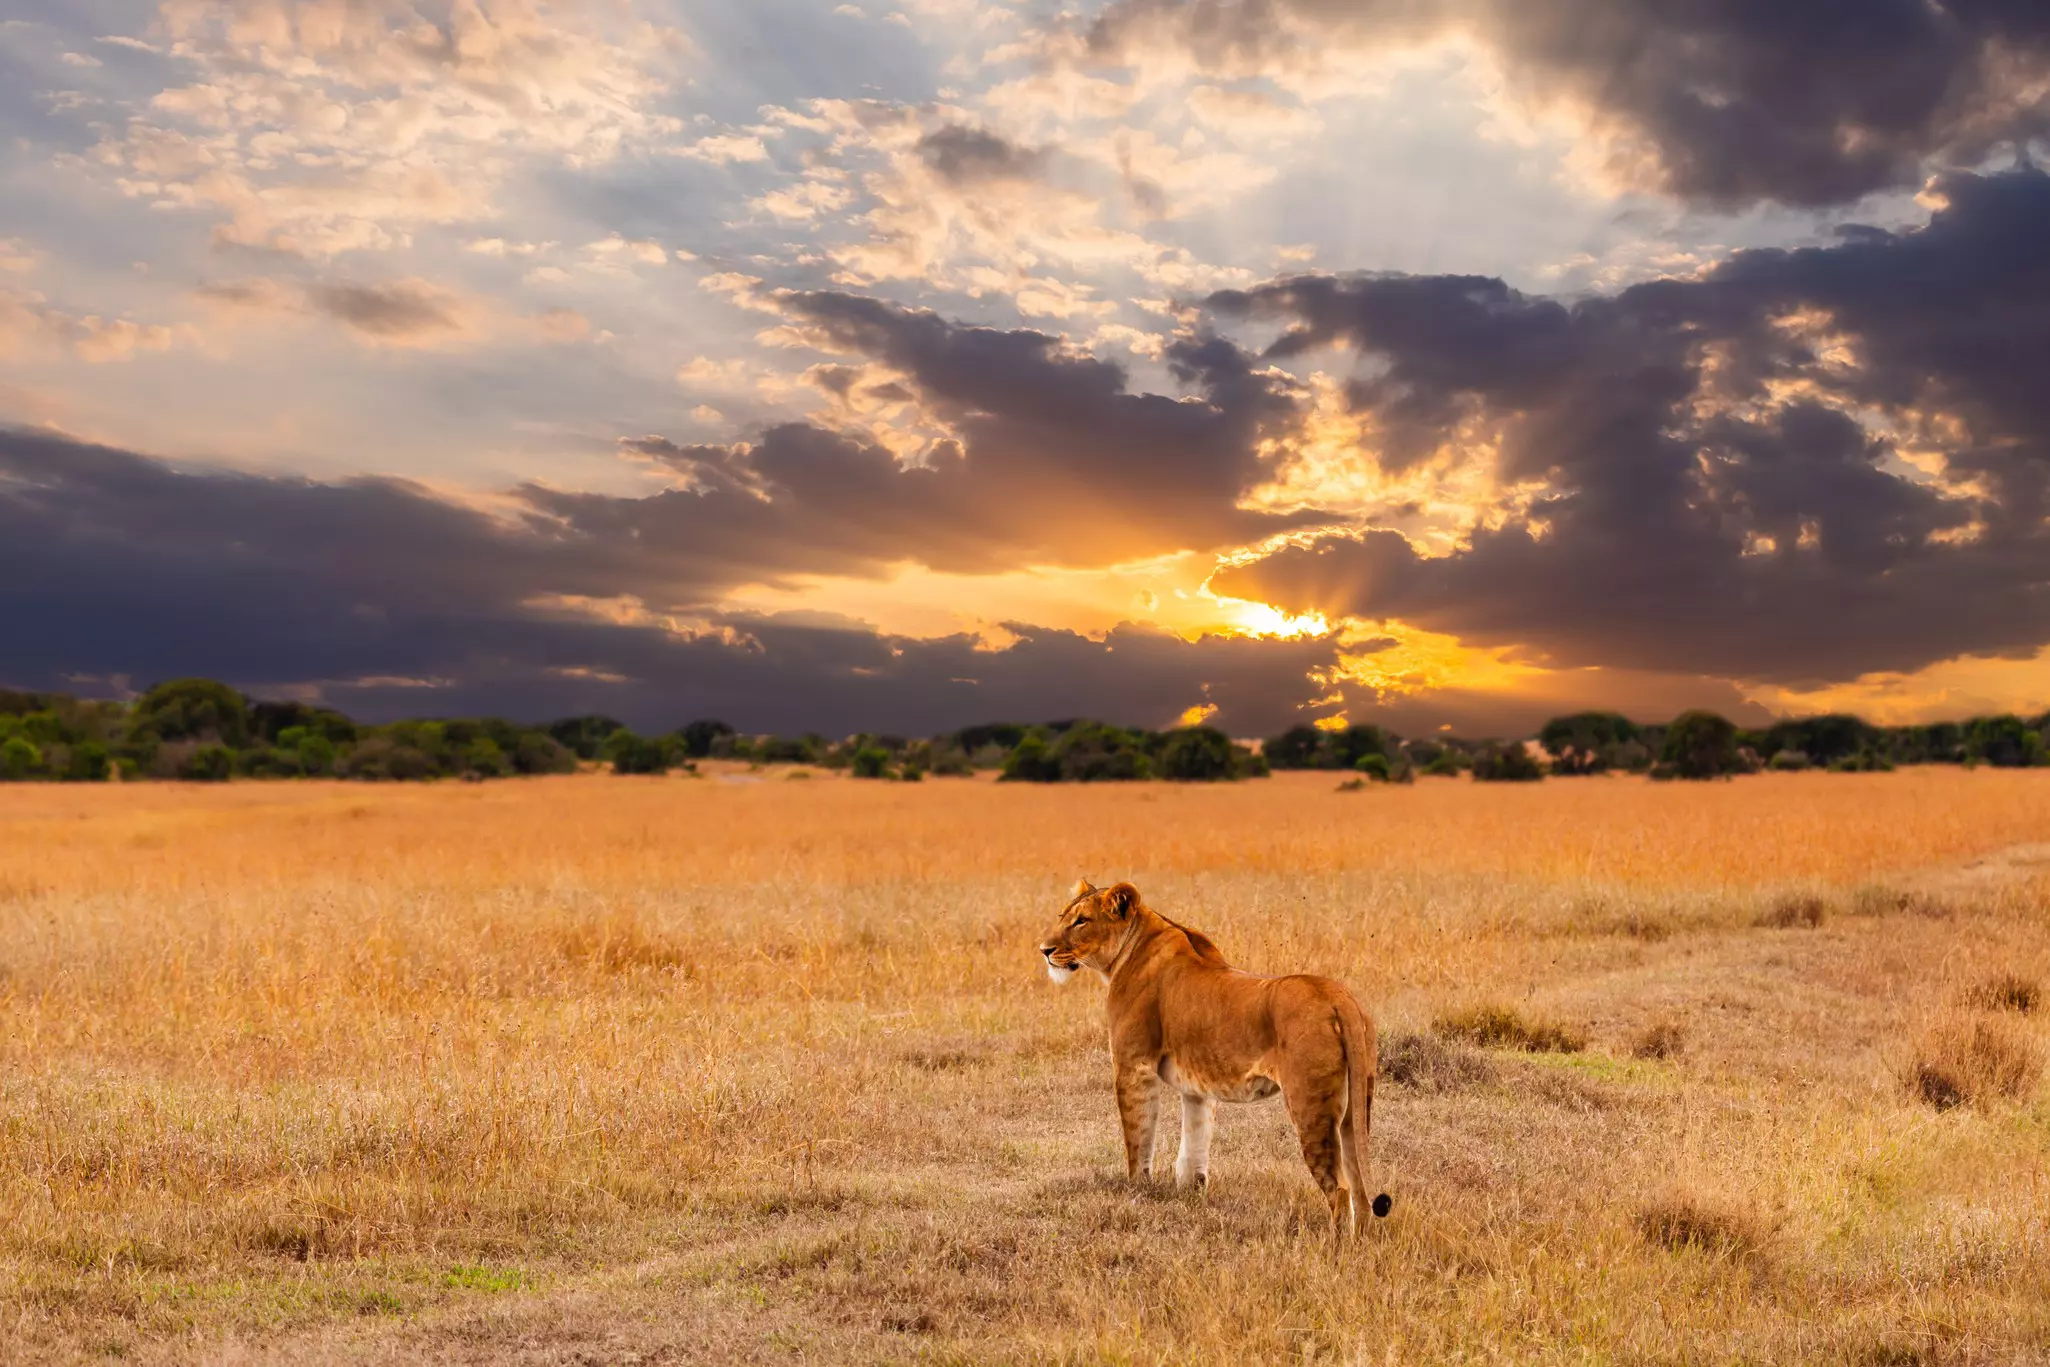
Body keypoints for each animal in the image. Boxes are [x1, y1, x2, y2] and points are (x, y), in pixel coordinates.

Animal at [1039, 878, 1391, 1238]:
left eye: (1082, 921)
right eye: (1064, 916)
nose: (1044, 950)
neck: (1130, 949)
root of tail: (1338, 997)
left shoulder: (1133, 1066)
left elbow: (1138, 1137)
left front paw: (1137, 1191)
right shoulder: (1196, 1086)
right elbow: (1194, 1143)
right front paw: (1190, 1193)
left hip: (1310, 1106)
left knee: (1340, 1188)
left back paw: (1336, 1246)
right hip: (1356, 1106)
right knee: (1360, 1186)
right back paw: (1362, 1241)